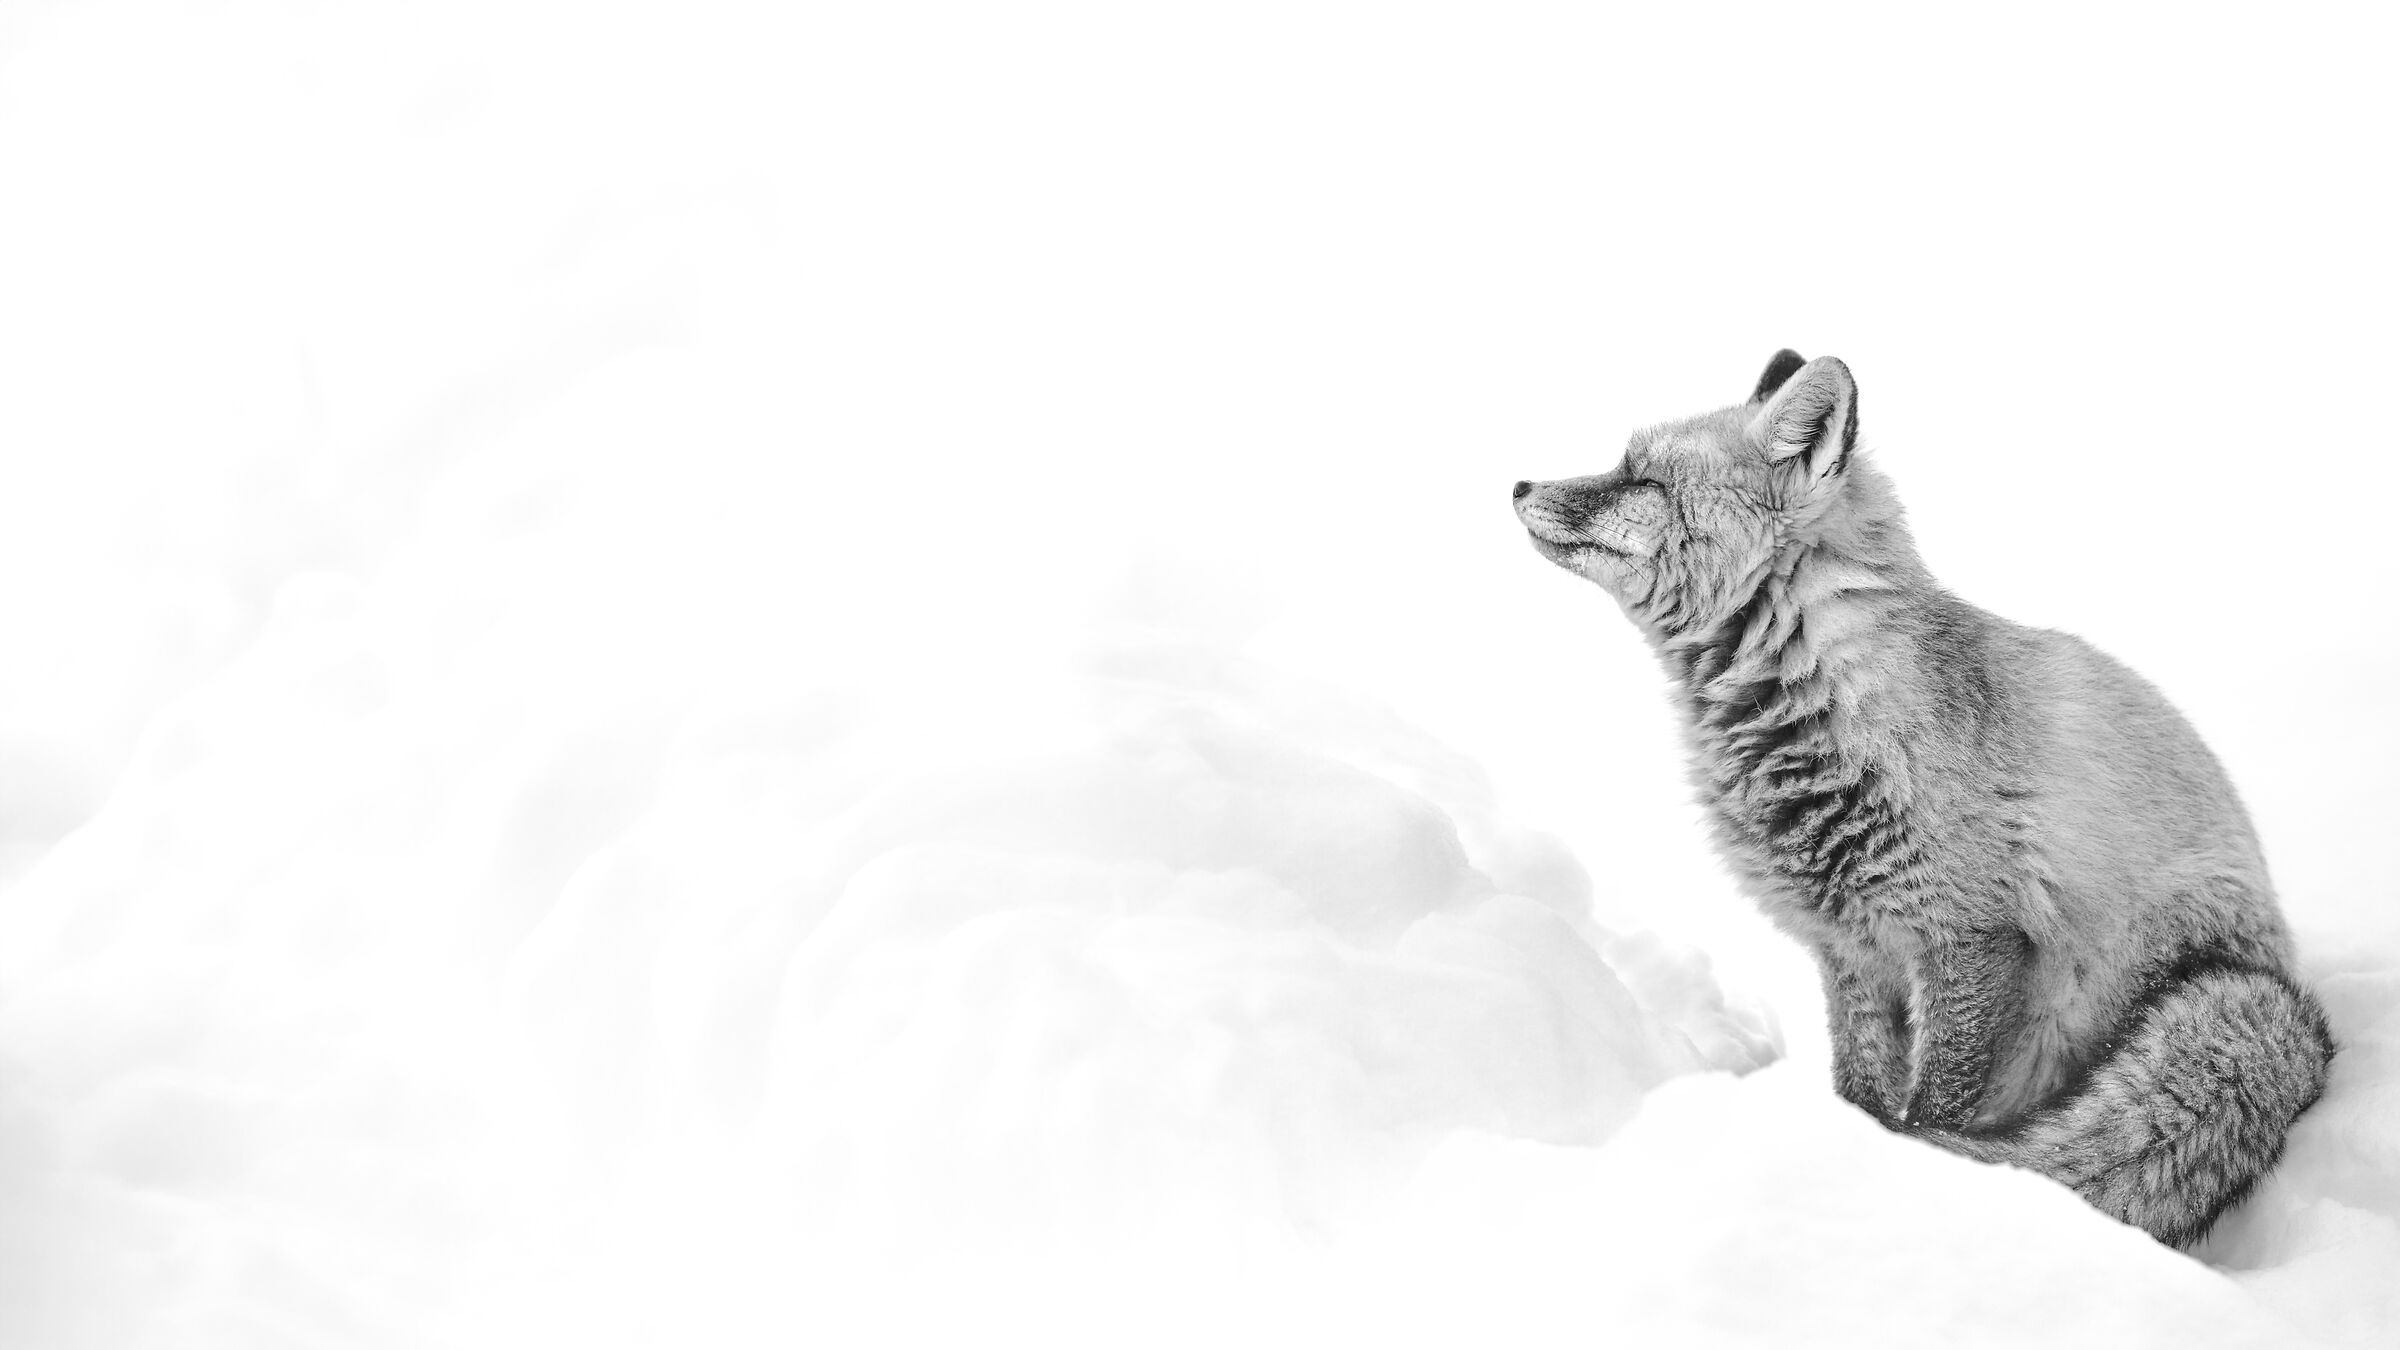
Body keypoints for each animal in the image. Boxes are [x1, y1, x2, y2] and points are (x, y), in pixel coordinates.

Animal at [1512, 350, 2333, 1247]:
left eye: (1642, 478)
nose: (1517, 484)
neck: (1817, 707)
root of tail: (2291, 1005)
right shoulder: (1851, 948)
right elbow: (1862, 1092)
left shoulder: (1969, 938)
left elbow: (1935, 1107)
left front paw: (1919, 1187)